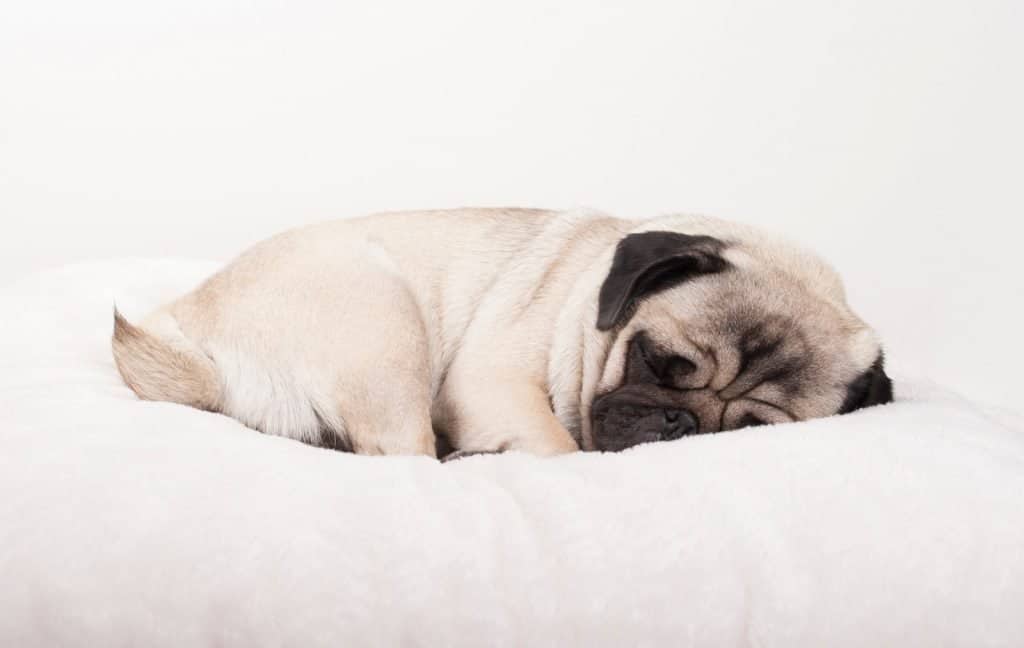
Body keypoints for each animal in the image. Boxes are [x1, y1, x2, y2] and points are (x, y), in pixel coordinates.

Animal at [116, 206, 892, 454]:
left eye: (750, 431)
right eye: (658, 362)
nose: (678, 420)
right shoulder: (489, 384)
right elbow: (557, 447)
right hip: (386, 320)